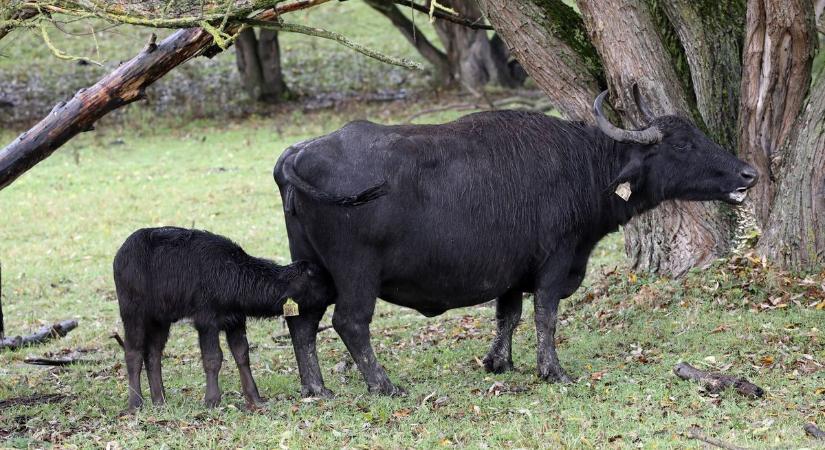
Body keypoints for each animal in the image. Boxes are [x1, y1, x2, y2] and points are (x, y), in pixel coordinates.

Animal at [113, 229, 332, 412]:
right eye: (319, 280)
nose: (335, 292)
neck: (232, 274)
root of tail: (121, 254)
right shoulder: (206, 321)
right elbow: (213, 358)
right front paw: (212, 400)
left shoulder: (236, 320)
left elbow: (242, 355)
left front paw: (254, 398)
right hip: (133, 312)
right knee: (133, 353)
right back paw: (136, 404)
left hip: (160, 318)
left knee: (153, 354)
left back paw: (160, 401)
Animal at [274, 89, 756, 398]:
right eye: (684, 145)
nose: (748, 173)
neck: (585, 166)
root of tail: (297, 154)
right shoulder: (555, 262)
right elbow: (546, 316)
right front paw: (553, 371)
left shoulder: (509, 273)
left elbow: (509, 316)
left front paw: (499, 362)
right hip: (356, 274)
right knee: (350, 323)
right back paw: (383, 384)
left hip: (311, 268)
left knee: (302, 322)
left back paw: (316, 388)